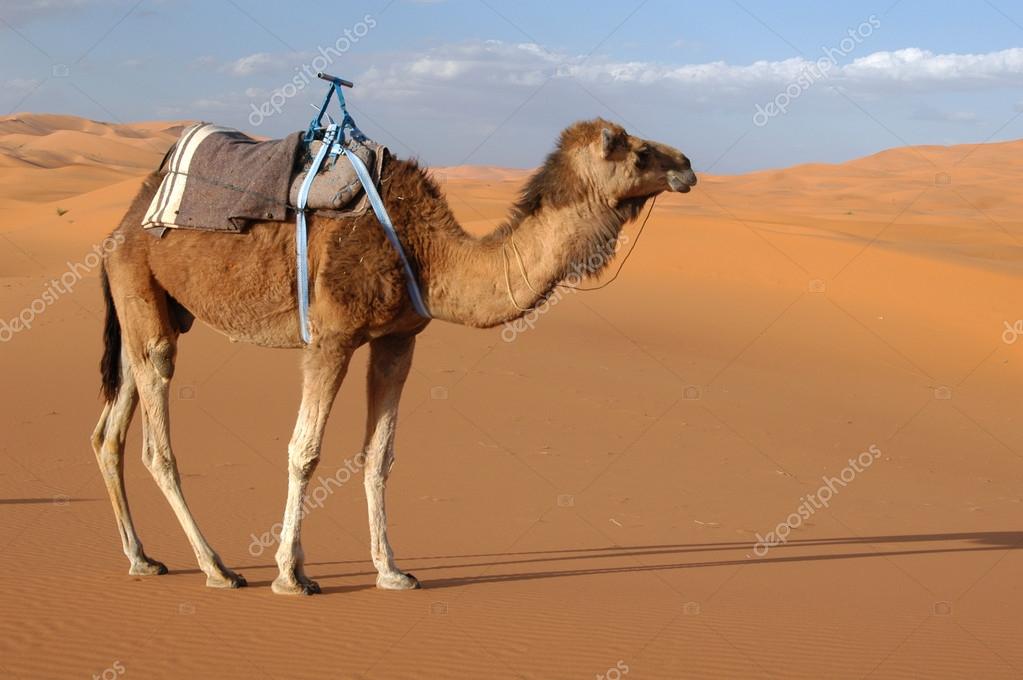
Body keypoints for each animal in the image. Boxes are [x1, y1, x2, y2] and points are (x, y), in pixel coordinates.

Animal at [91, 118, 697, 595]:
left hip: (153, 307)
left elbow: (379, 456)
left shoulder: (398, 339)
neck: (427, 254)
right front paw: (291, 574)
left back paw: (142, 558)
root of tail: (122, 224)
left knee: (108, 431)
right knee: (155, 437)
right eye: (637, 150)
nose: (688, 164)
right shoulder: (330, 338)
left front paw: (391, 571)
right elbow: (304, 452)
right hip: (142, 291)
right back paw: (216, 567)